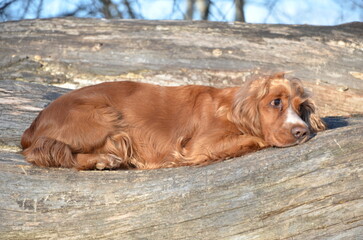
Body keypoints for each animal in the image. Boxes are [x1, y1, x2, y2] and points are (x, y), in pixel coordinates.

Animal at [19, 72, 328, 170]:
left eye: (301, 107)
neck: (230, 108)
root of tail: (33, 126)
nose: (302, 132)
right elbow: (257, 137)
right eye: (275, 102)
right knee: (42, 152)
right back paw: (104, 160)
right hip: (103, 118)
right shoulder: (198, 146)